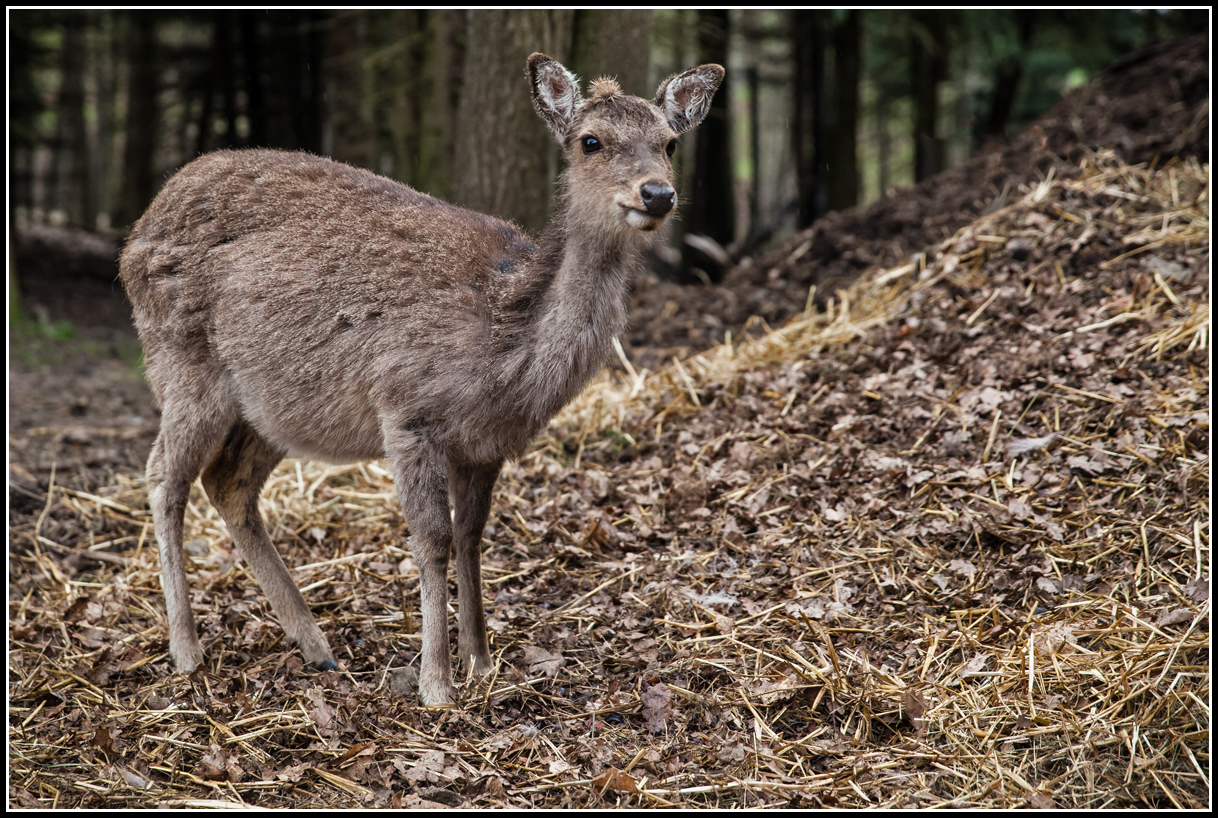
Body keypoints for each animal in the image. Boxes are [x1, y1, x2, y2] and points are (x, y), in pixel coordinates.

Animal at [118, 52, 721, 701]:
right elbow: (431, 541)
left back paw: (317, 648)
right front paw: (437, 683)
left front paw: (481, 661)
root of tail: (137, 229)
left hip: (272, 407)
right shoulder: (407, 411)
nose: (657, 193)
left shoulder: (486, 445)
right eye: (591, 141)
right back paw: (187, 650)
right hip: (183, 364)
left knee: (227, 483)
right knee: (163, 476)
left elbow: (471, 536)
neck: (503, 349)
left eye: (670, 142)